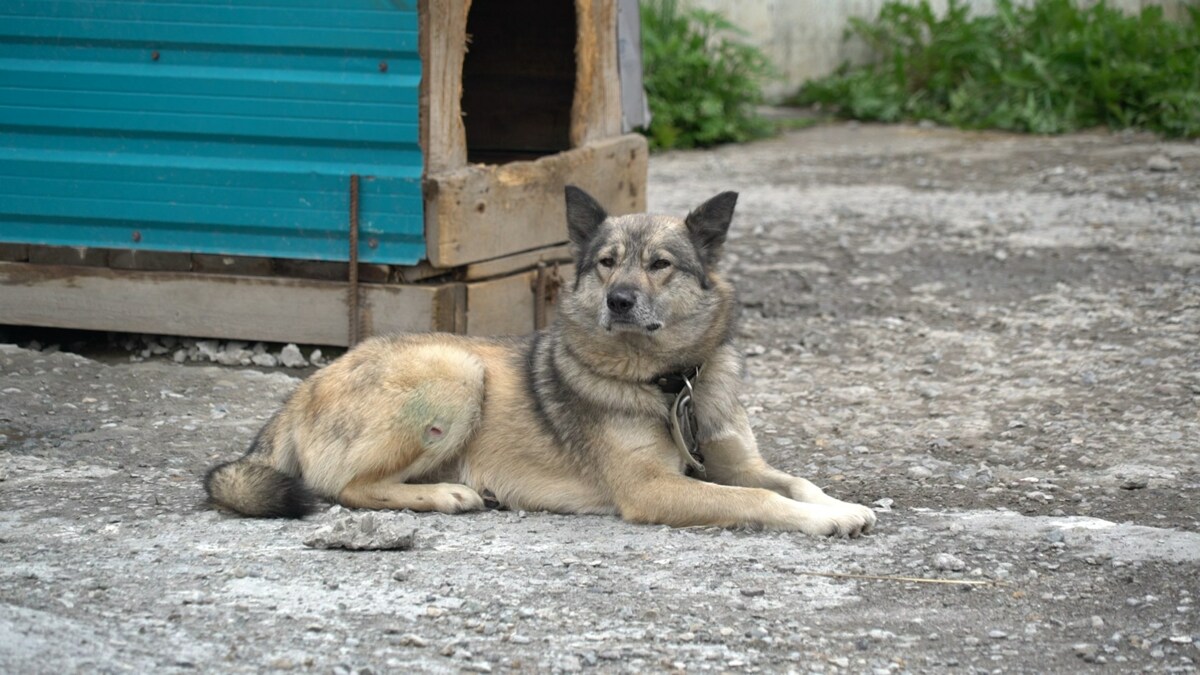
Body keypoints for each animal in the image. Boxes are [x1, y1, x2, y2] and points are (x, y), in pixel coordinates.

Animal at [206, 186, 878, 533]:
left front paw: (839, 505)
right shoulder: (652, 490)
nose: (618, 299)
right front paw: (824, 521)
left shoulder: (735, 462)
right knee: (347, 487)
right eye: (606, 262)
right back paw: (448, 495)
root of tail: (301, 390)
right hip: (458, 371)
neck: (669, 383)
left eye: (660, 263)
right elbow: (759, 501)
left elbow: (795, 482)